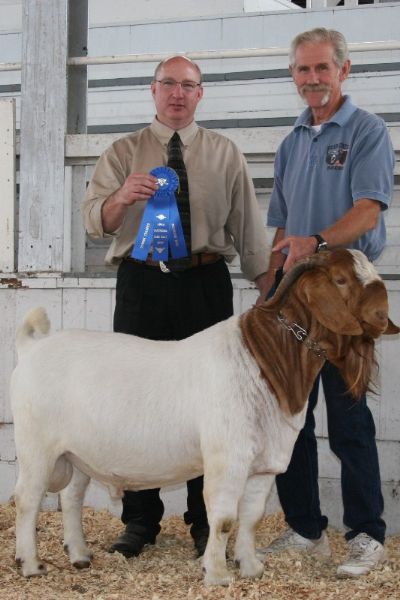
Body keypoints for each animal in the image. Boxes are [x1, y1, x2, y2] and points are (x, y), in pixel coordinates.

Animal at [10, 250, 398, 584]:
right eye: (341, 279)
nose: (382, 317)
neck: (265, 362)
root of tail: (32, 346)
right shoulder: (228, 458)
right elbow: (224, 519)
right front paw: (217, 574)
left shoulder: (263, 466)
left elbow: (251, 519)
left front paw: (250, 567)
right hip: (36, 446)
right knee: (27, 498)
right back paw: (30, 564)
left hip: (75, 455)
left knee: (71, 498)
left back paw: (79, 555)